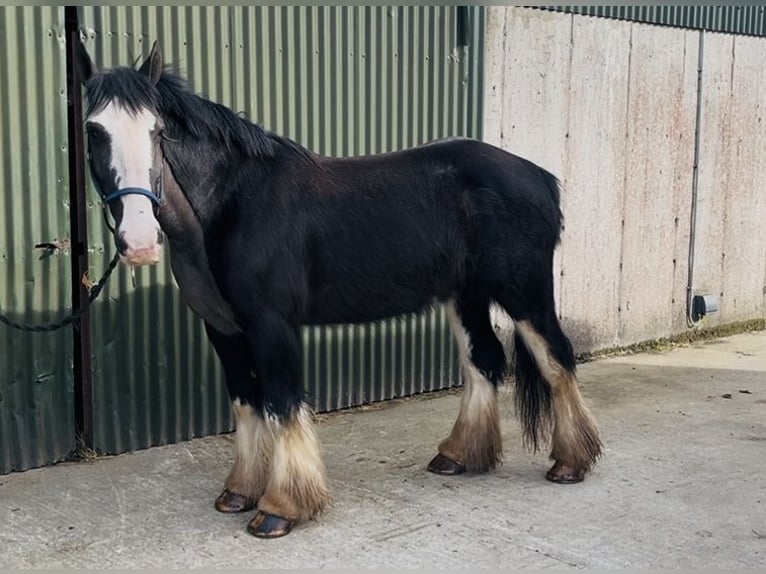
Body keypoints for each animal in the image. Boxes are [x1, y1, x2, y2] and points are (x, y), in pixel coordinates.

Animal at [74, 41, 602, 538]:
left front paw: (280, 508)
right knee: (484, 363)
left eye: (156, 132)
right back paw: (458, 456)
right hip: (465, 295)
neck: (233, 203)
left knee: (556, 359)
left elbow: (282, 405)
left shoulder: (272, 326)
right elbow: (246, 405)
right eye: (93, 132)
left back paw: (570, 462)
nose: (139, 242)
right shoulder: (223, 329)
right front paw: (239, 491)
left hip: (524, 293)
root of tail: (541, 178)